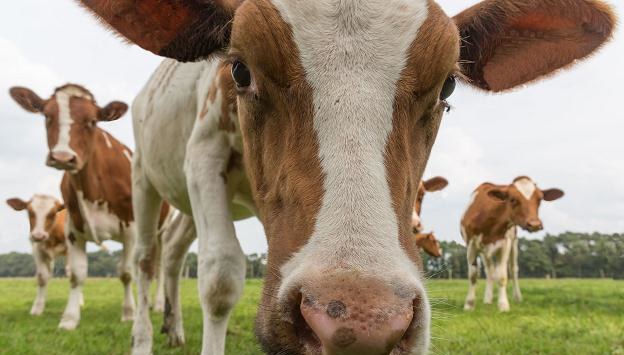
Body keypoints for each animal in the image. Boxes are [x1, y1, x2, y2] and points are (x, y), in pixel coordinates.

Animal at [8, 83, 168, 330]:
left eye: (92, 121)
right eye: (47, 115)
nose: (63, 157)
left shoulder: (131, 229)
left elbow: (126, 273)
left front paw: (128, 313)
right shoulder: (74, 229)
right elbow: (77, 274)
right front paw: (69, 318)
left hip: (161, 232)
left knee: (158, 269)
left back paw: (157, 305)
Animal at [458, 177, 564, 312]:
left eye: (540, 199)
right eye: (513, 199)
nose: (534, 224)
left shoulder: (505, 244)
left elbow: (502, 276)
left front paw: (503, 305)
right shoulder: (471, 245)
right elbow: (473, 275)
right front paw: (469, 304)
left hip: (514, 244)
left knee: (513, 270)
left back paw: (517, 297)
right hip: (484, 252)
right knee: (489, 271)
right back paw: (488, 299)